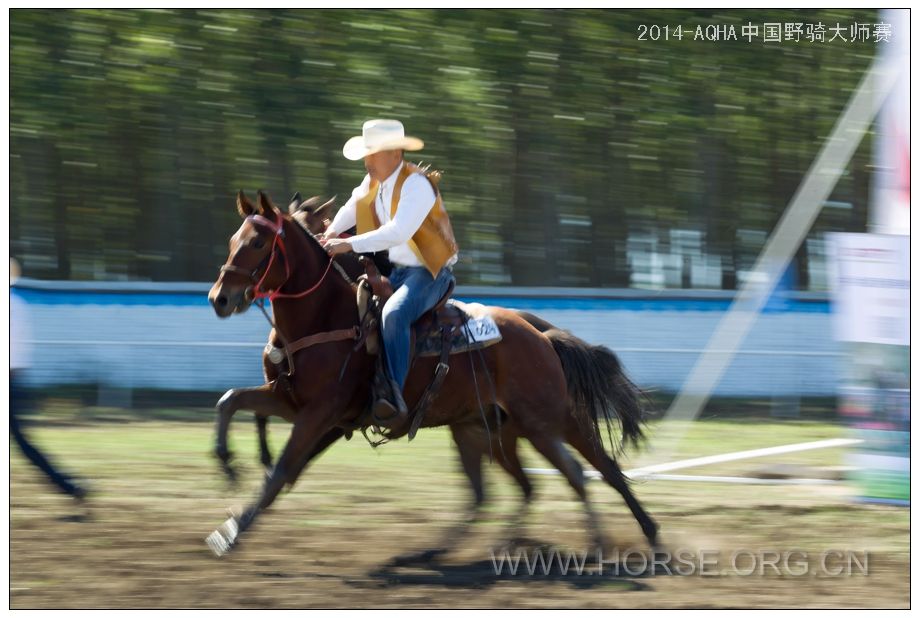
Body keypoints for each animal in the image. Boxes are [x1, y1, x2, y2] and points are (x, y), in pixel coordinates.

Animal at [206, 190, 656, 556]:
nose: (219, 298)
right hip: (484, 430)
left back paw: (617, 539)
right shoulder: (290, 400)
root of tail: (539, 336)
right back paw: (452, 549)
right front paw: (228, 468)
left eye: (259, 242)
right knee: (506, 488)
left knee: (588, 470)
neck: (327, 315)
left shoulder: (321, 412)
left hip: (547, 420)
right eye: (231, 241)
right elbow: (231, 402)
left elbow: (282, 469)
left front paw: (234, 529)